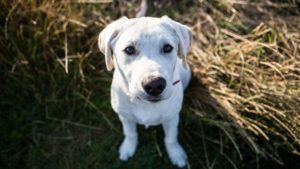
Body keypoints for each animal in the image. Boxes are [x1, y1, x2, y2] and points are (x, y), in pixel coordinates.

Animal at [98, 16, 192, 168]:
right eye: (129, 49)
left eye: (167, 48)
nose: (154, 85)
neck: (145, 104)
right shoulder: (125, 116)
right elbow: (130, 133)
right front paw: (128, 148)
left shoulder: (172, 117)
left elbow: (171, 138)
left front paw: (176, 154)